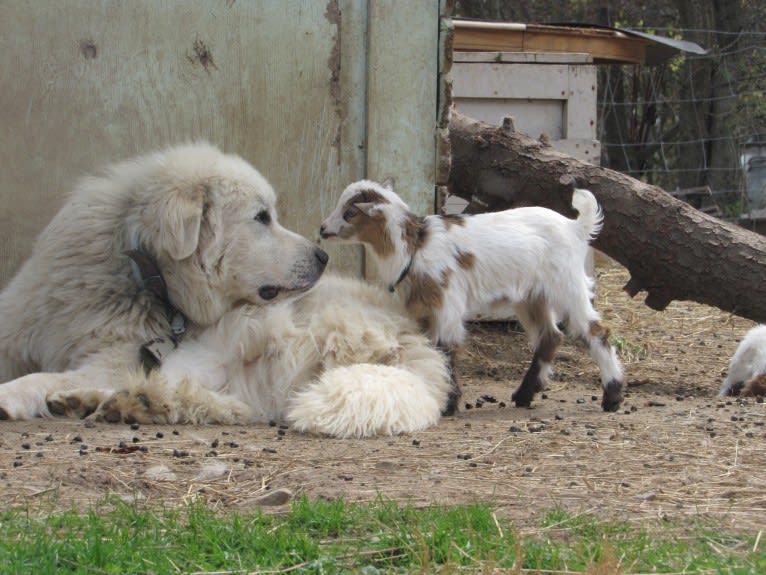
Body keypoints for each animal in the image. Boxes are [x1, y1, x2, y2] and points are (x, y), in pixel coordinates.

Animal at [0, 144, 450, 436]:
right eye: (262, 217)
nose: (322, 256)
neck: (140, 275)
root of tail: (415, 343)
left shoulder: (117, 355)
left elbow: (42, 376)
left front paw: (12, 395)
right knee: (211, 400)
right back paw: (104, 403)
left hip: (237, 341)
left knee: (194, 395)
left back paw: (120, 402)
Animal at [320, 179, 628, 414]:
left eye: (350, 213)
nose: (323, 229)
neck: (415, 247)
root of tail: (575, 227)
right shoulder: (422, 308)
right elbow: (427, 349)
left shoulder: (447, 303)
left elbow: (446, 349)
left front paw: (448, 404)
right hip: (532, 297)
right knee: (550, 336)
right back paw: (524, 395)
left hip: (568, 286)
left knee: (597, 332)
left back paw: (612, 397)